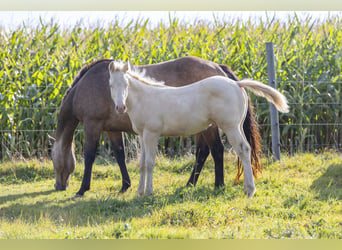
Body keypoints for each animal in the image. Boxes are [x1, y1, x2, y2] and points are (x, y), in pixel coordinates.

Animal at [50, 56, 260, 197]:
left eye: (54, 160)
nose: (59, 186)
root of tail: (221, 69)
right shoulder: (113, 130)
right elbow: (120, 155)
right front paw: (126, 186)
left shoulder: (92, 125)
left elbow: (89, 156)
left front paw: (82, 189)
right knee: (205, 152)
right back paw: (191, 184)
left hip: (215, 127)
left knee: (217, 150)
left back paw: (220, 185)